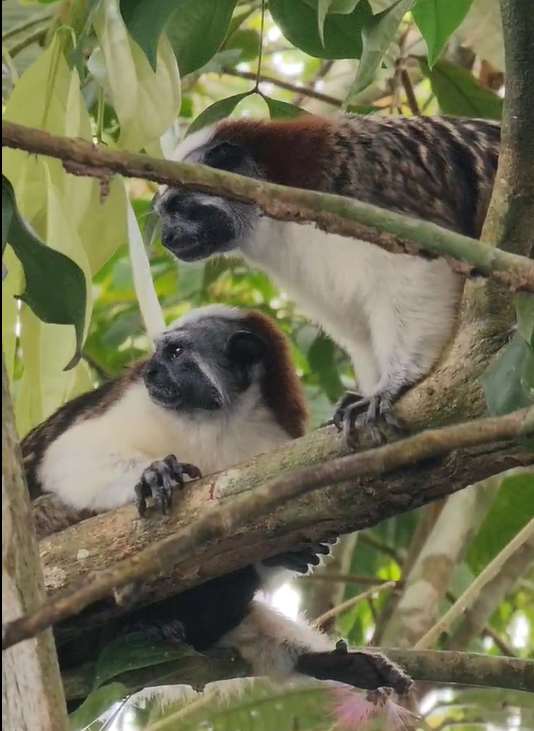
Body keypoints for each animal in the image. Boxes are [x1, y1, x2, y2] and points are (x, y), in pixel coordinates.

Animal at [22, 304, 412, 700]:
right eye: (157, 353)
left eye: (175, 353)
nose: (149, 371)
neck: (217, 420)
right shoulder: (133, 402)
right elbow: (67, 455)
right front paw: (151, 474)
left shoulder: (273, 441)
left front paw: (288, 554)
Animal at [155, 114, 500, 446]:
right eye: (164, 214)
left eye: (179, 207)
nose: (167, 238)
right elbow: (358, 328)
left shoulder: (368, 197)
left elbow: (420, 272)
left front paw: (395, 382)